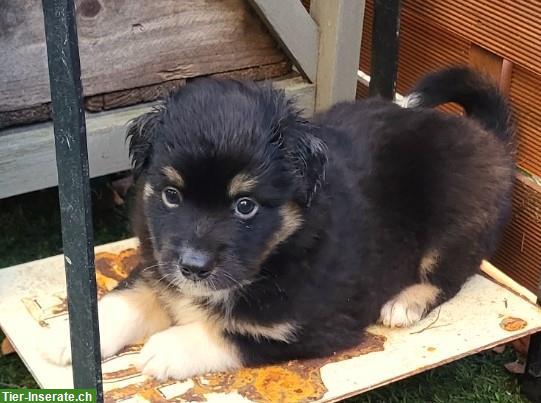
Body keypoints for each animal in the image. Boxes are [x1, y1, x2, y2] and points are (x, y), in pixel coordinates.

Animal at [44, 68, 512, 380]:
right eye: (171, 195)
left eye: (245, 206)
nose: (193, 268)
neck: (280, 250)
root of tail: (484, 136)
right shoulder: (159, 265)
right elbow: (130, 296)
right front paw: (77, 337)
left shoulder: (307, 327)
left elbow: (232, 334)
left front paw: (169, 348)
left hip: (455, 218)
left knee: (452, 274)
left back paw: (404, 303)